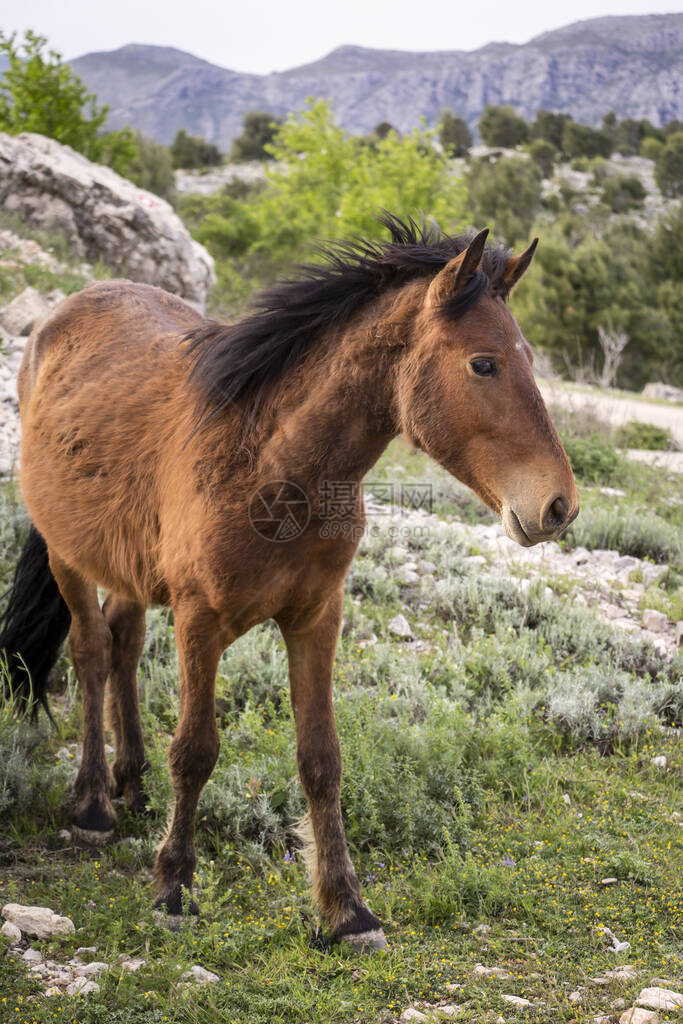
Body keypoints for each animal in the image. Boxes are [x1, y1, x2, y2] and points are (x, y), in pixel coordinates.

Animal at [0, 216, 577, 950]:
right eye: (483, 363)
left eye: (528, 357)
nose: (558, 506)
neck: (272, 464)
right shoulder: (199, 622)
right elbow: (195, 751)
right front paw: (174, 888)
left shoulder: (316, 619)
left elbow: (321, 759)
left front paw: (346, 910)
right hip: (69, 555)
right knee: (93, 653)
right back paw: (95, 805)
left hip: (128, 566)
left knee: (123, 643)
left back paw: (132, 784)